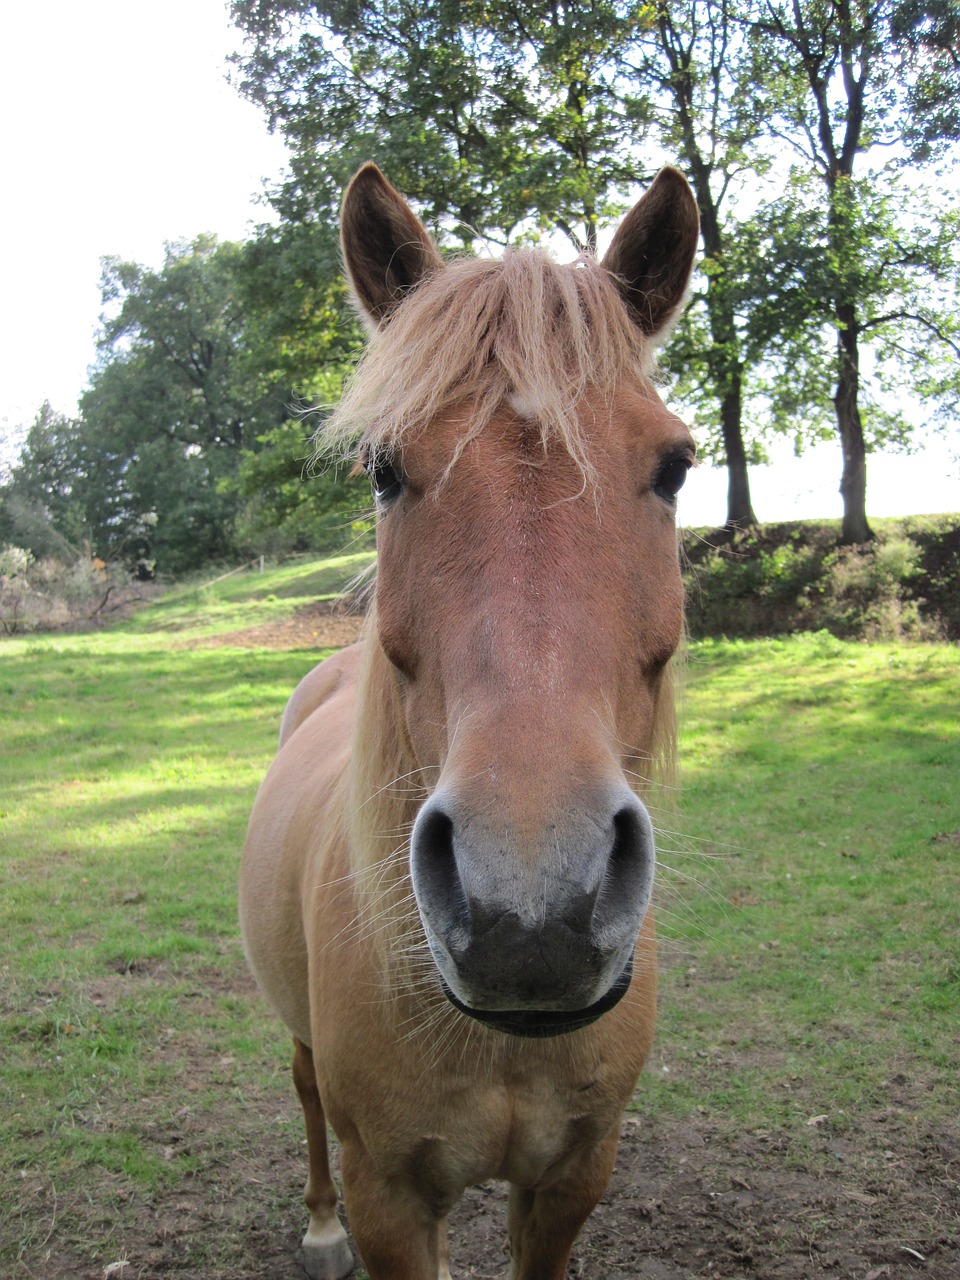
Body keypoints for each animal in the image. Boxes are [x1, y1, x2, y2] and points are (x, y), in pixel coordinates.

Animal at [240, 162, 701, 1280]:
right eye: (383, 468)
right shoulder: (393, 1200)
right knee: (303, 1086)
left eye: (673, 466)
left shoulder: (574, 1177)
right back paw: (316, 1227)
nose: (528, 909)